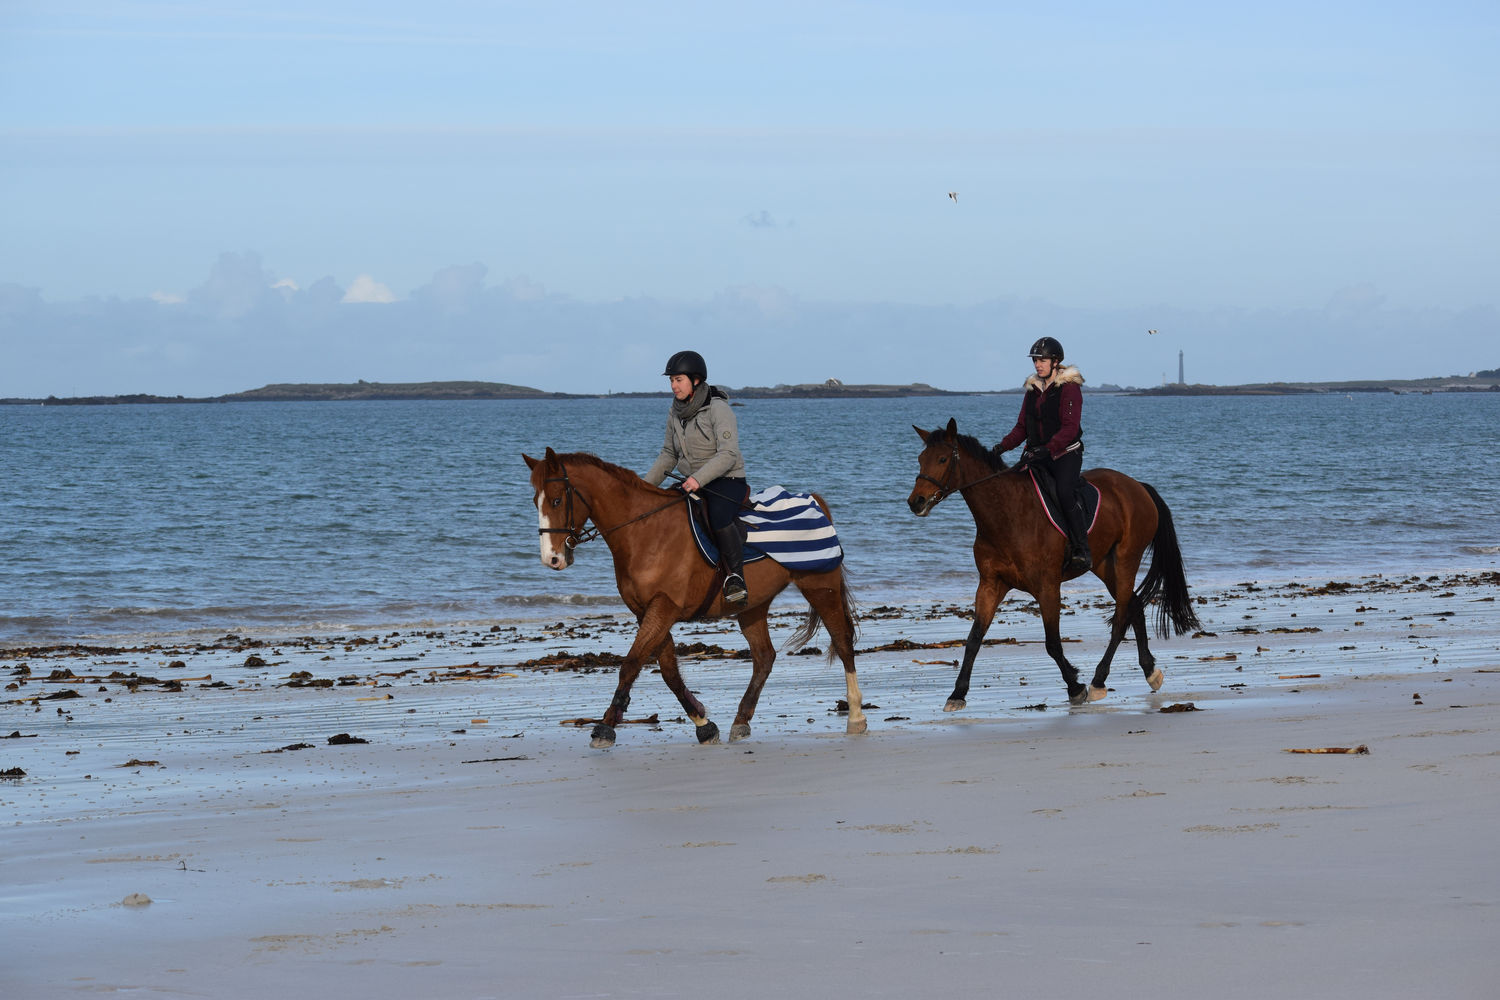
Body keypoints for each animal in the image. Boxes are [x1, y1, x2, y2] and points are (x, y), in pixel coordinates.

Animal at [525, 449, 870, 746]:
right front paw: (704, 725)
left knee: (842, 642)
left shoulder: (663, 607)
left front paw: (605, 727)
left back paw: (855, 717)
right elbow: (669, 672)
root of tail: (814, 501)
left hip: (820, 587)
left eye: (556, 500)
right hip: (752, 607)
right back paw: (741, 721)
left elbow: (631, 663)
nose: (551, 559)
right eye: (535, 501)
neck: (645, 531)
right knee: (764, 657)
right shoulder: (649, 611)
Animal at [900, 419, 1194, 707]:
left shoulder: (1047, 586)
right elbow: (974, 639)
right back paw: (1150, 672)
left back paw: (1098, 681)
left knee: (1121, 618)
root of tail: (1138, 486)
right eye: (920, 458)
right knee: (1133, 606)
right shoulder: (990, 584)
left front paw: (1075, 686)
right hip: (1104, 565)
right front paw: (957, 694)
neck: (1006, 514)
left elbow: (1052, 643)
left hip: (1125, 560)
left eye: (942, 459)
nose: (916, 502)